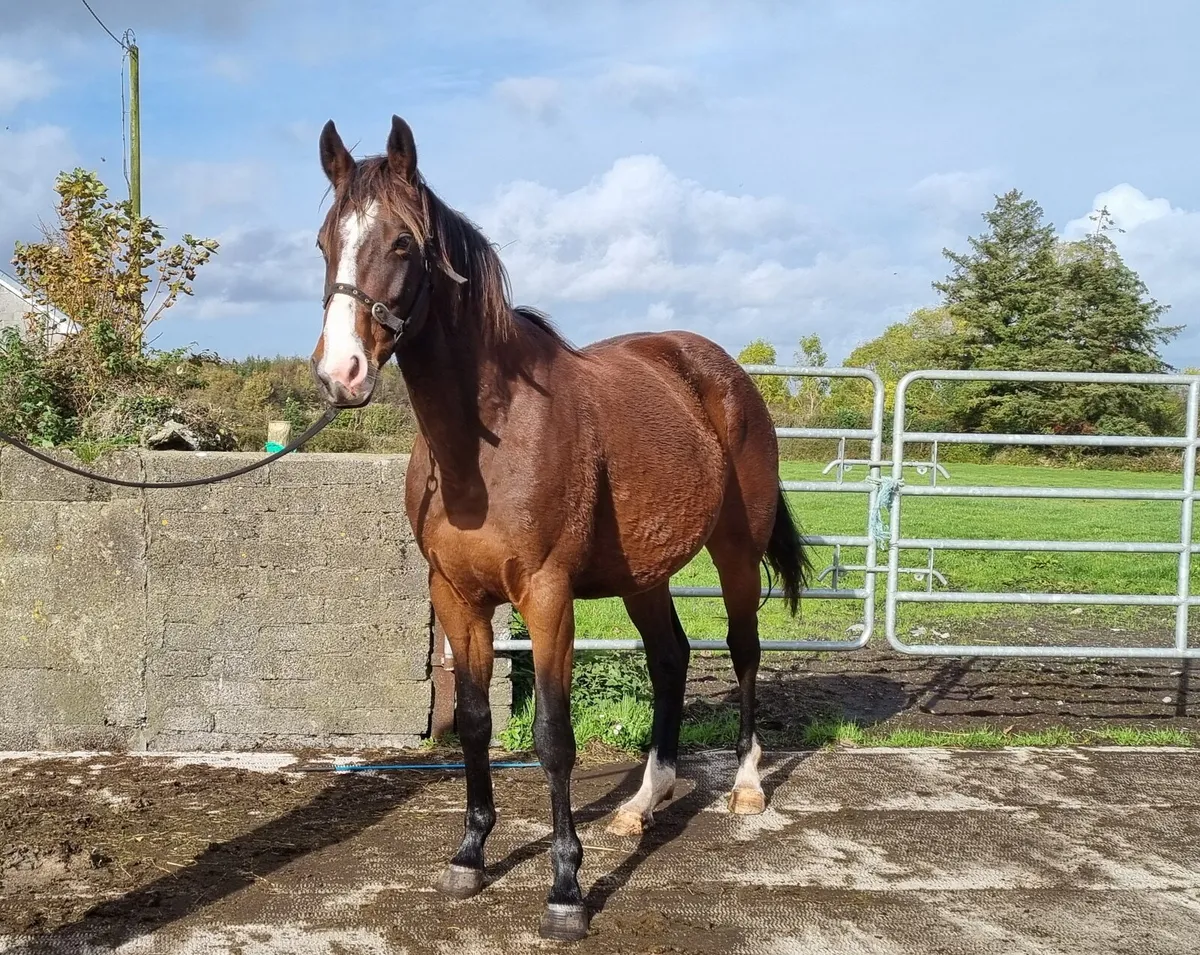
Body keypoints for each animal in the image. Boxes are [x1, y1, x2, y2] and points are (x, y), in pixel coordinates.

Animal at [309, 114, 810, 942]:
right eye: (324, 241)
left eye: (403, 244)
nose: (340, 372)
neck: (488, 441)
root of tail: (720, 370)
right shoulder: (457, 595)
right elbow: (475, 721)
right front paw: (470, 853)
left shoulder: (546, 596)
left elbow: (552, 736)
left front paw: (567, 888)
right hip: (645, 575)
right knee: (670, 657)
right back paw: (642, 803)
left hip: (734, 554)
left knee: (742, 650)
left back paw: (744, 785)